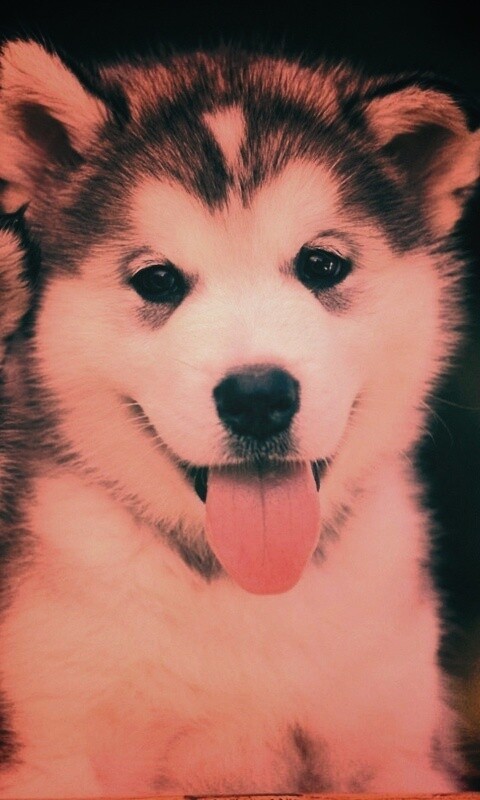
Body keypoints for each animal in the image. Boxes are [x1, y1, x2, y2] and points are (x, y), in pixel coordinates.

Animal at [0, 39, 478, 796]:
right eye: (157, 279)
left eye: (322, 264)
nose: (258, 398)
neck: (244, 588)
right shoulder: (52, 746)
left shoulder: (399, 747)